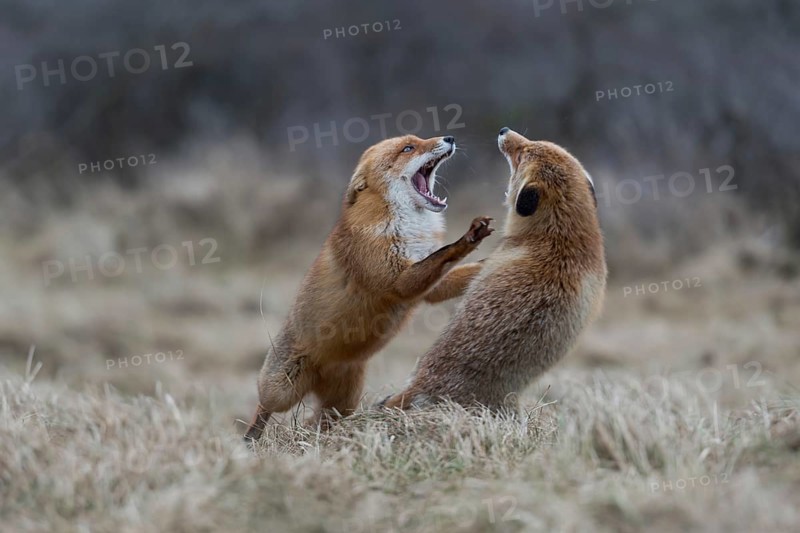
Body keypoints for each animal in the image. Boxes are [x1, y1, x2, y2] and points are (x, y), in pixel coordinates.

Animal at [244, 134, 494, 444]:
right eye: (408, 148)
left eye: (419, 139)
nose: (449, 138)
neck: (408, 229)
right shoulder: (398, 282)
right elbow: (441, 255)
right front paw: (467, 239)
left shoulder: (431, 287)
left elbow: (454, 268)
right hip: (282, 389)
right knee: (264, 407)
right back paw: (249, 439)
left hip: (344, 402)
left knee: (317, 422)